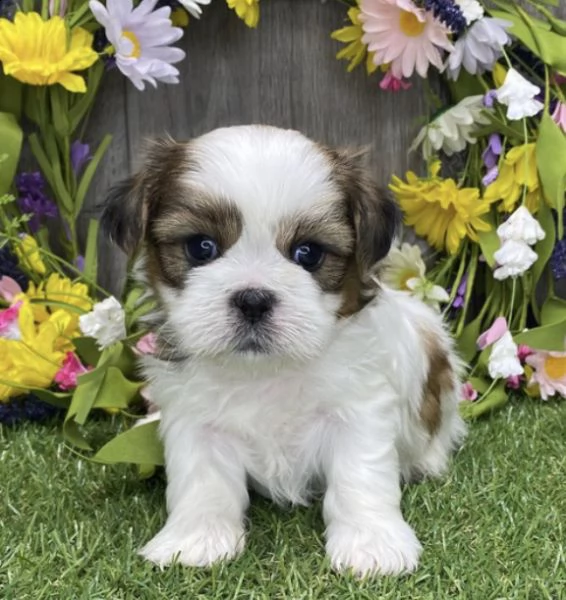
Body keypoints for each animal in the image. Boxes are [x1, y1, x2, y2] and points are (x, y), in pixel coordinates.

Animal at [104, 125, 468, 576]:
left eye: (307, 253)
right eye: (201, 247)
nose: (253, 299)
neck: (265, 370)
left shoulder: (359, 410)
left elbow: (360, 476)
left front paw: (371, 543)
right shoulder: (195, 419)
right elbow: (202, 481)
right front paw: (196, 539)